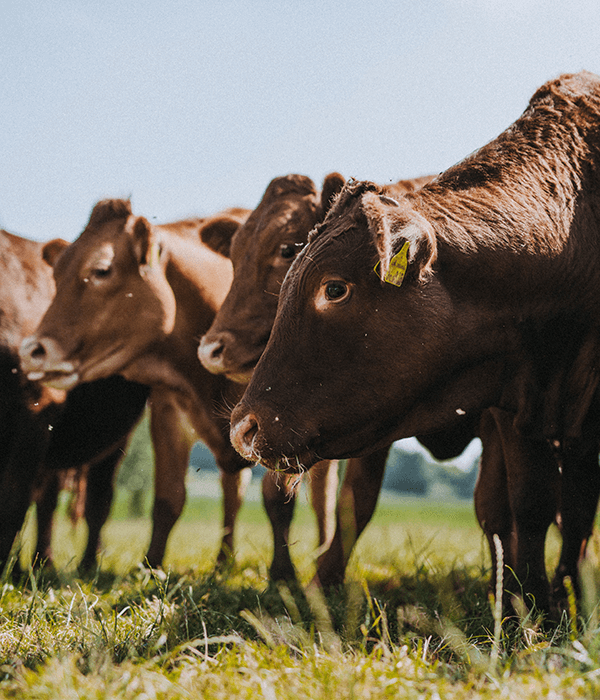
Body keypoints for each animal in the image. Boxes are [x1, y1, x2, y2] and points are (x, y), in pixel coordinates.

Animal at [0, 228, 149, 576]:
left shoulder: (36, 411)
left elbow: (13, 500)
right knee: (48, 501)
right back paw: (40, 563)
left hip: (115, 440)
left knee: (98, 500)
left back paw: (87, 565)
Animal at [230, 72, 600, 612]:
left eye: (334, 289)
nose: (242, 429)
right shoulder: (519, 404)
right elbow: (530, 504)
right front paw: (530, 609)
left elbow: (559, 511)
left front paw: (548, 603)